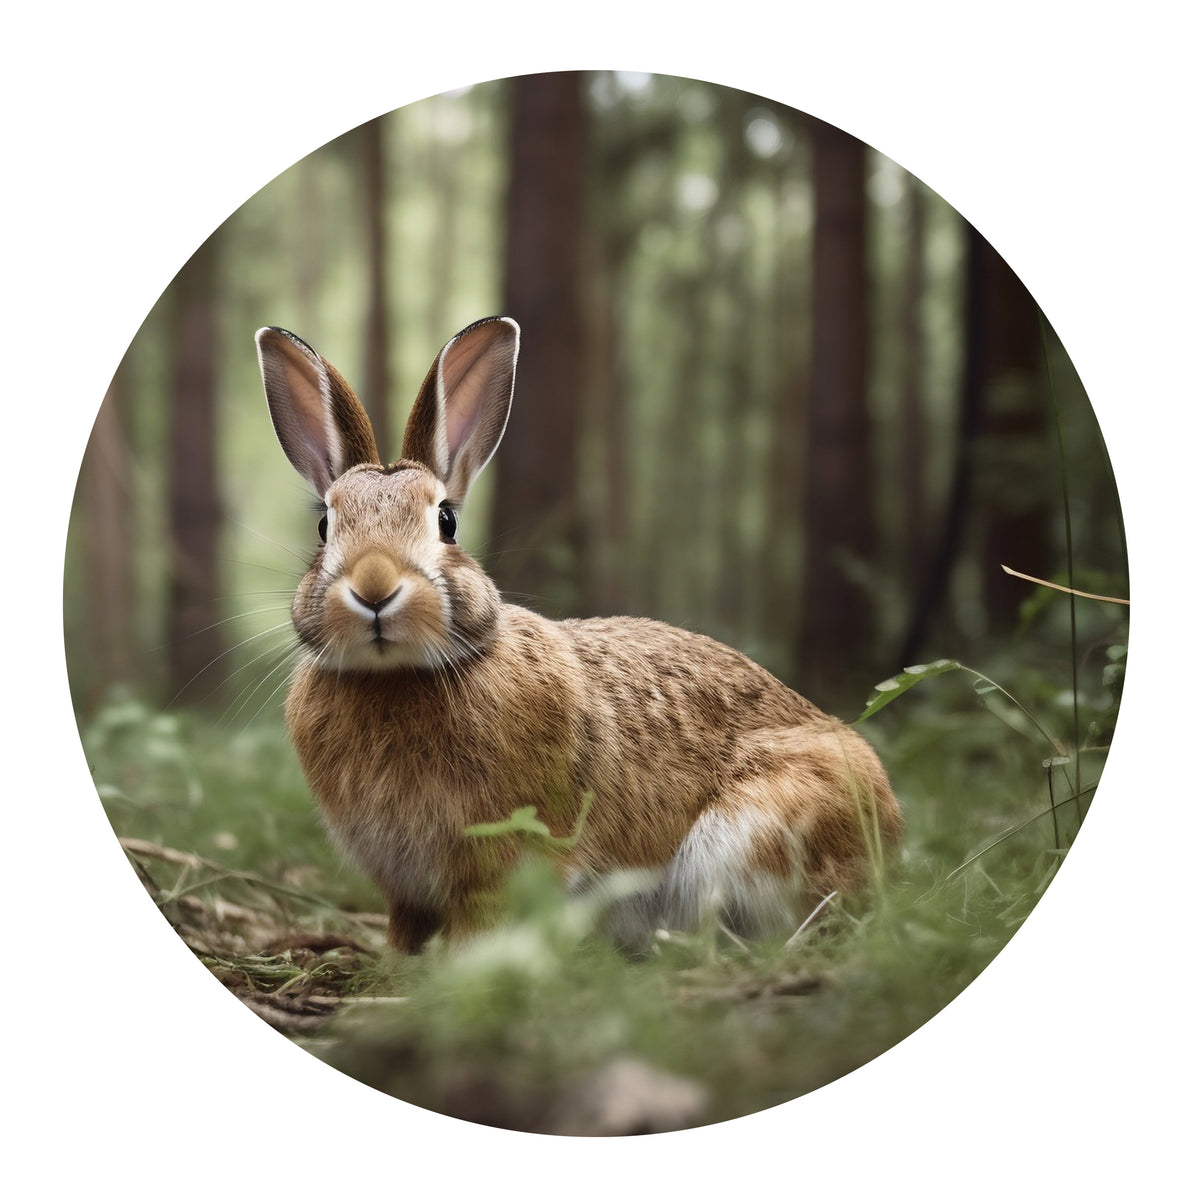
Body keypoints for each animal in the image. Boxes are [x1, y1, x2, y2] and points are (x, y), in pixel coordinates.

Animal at [256, 315, 901, 952]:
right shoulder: (404, 887)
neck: (399, 676)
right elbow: (406, 929)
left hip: (752, 836)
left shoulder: (505, 857)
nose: (374, 586)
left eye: (447, 521)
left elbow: (479, 927)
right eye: (325, 525)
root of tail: (888, 831)